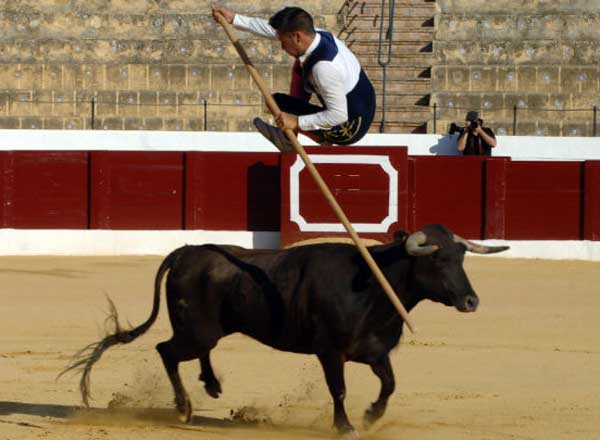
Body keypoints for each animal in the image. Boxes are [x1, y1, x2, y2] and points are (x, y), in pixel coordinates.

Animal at [63, 225, 508, 434]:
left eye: (461, 258)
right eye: (437, 260)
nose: (471, 301)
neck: (374, 285)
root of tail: (188, 251)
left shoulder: (374, 351)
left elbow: (390, 384)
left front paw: (371, 416)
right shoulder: (330, 352)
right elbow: (338, 389)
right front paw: (346, 426)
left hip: (207, 329)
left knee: (190, 352)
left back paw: (212, 386)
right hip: (197, 330)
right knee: (167, 351)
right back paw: (185, 407)